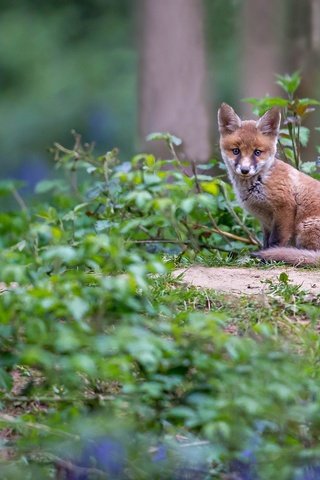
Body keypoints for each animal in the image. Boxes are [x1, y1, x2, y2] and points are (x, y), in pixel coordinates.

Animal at [219, 102, 320, 266]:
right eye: (236, 151)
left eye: (257, 152)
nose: (245, 170)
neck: (260, 183)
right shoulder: (265, 221)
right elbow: (266, 242)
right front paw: (263, 256)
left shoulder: (284, 209)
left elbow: (276, 242)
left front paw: (268, 259)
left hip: (305, 228)